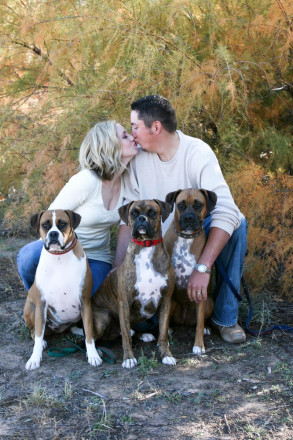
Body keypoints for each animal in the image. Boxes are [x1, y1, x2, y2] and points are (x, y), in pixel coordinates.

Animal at [22, 210, 101, 372]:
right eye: (45, 225)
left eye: (63, 224)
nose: (53, 233)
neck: (59, 256)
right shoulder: (41, 305)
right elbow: (38, 336)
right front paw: (34, 358)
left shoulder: (85, 301)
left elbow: (89, 331)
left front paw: (93, 354)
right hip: (31, 309)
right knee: (34, 332)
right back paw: (43, 341)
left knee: (76, 327)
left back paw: (79, 331)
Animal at [90, 199, 176, 368]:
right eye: (133, 213)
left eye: (152, 212)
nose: (141, 219)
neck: (146, 246)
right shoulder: (124, 303)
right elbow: (125, 338)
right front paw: (128, 358)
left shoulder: (166, 300)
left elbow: (163, 333)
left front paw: (166, 354)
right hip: (103, 317)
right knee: (93, 337)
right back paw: (96, 353)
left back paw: (143, 335)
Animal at [164, 189, 217, 354]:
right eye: (180, 205)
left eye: (198, 205)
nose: (188, 217)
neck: (186, 238)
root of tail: (185, 319)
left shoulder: (199, 292)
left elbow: (199, 324)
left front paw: (199, 345)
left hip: (209, 302)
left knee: (200, 321)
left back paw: (207, 328)